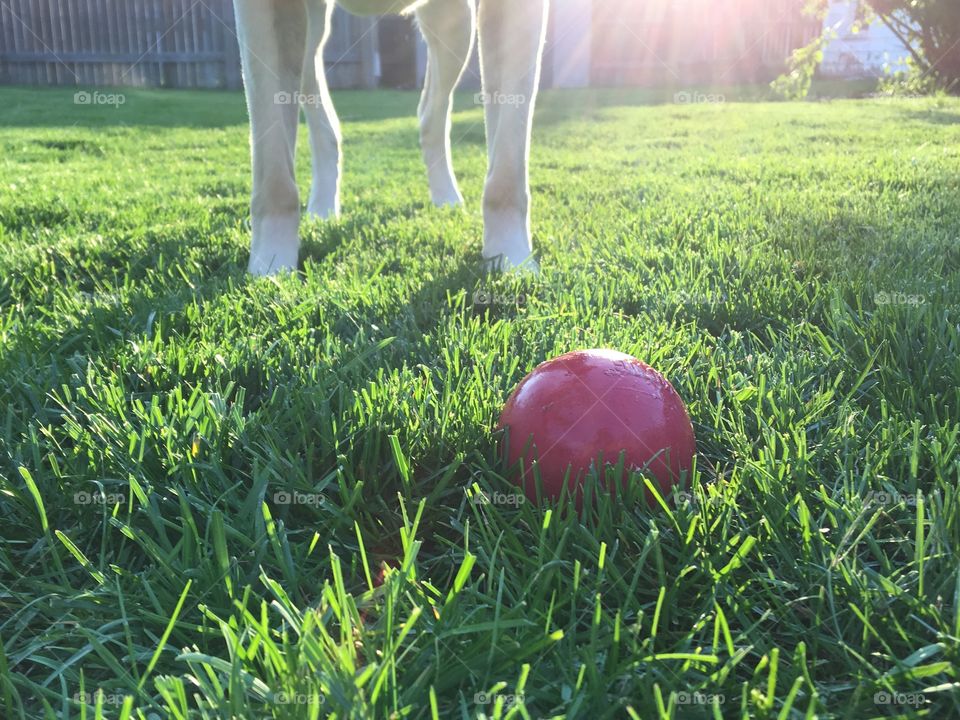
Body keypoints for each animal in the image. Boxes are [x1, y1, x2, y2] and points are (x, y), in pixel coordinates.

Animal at [232, 0, 548, 276]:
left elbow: (507, 169)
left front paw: (510, 259)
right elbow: (274, 170)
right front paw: (271, 265)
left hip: (453, 20)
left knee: (432, 113)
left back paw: (445, 196)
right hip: (313, 28)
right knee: (320, 112)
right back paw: (322, 208)